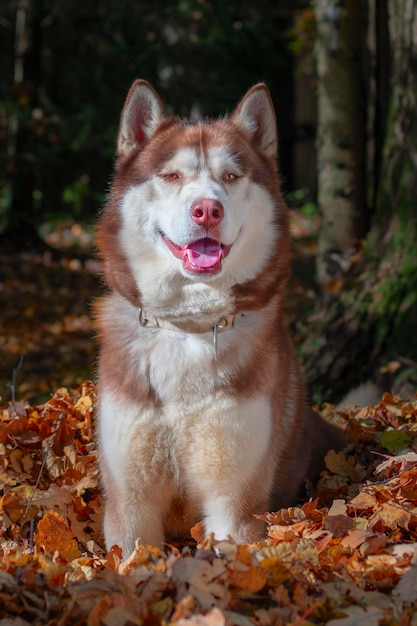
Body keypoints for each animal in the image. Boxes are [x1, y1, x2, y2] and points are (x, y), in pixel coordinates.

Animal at [96, 79, 346, 556]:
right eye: (172, 176)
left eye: (231, 177)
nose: (207, 210)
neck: (188, 326)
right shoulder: (130, 504)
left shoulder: (235, 503)